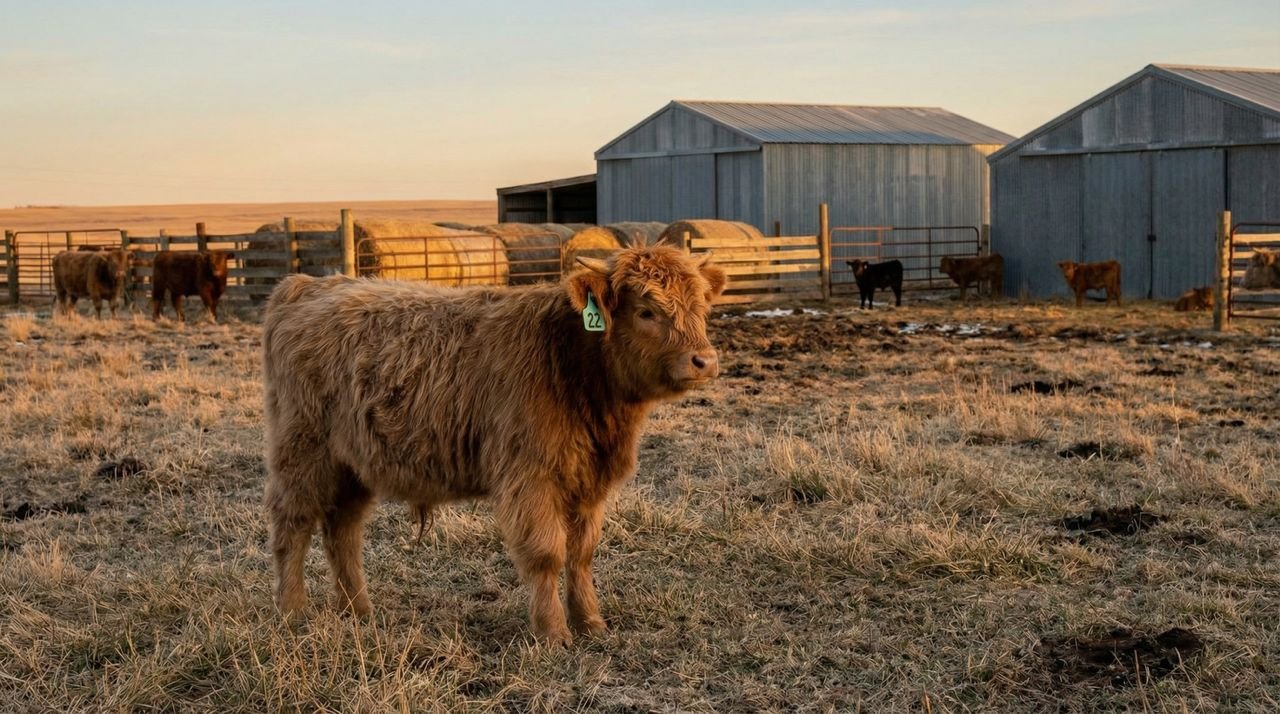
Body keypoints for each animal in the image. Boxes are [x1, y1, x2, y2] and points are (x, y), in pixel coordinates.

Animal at [261, 244, 727, 645]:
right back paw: (293, 611)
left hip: (353, 464)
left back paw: (357, 610)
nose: (704, 361)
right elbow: (546, 554)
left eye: (702, 308)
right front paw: (553, 634)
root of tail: (308, 285)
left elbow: (582, 554)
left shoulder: (588, 482)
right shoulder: (530, 476)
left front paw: (591, 624)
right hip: (302, 451)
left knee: (343, 531)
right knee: (292, 526)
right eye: (646, 311)